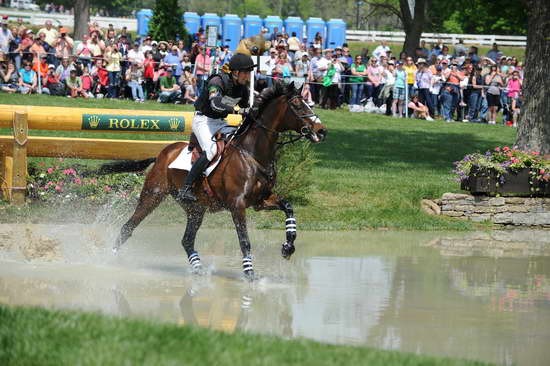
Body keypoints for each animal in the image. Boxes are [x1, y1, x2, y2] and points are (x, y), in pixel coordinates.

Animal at [103, 81, 328, 278]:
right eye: (297, 105)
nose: (322, 131)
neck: (252, 154)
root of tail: (161, 155)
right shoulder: (237, 205)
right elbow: (244, 241)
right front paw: (250, 275)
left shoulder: (260, 201)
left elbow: (288, 208)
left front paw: (288, 247)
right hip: (153, 195)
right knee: (128, 227)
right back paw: (109, 260)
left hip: (195, 209)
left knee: (187, 240)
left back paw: (198, 270)